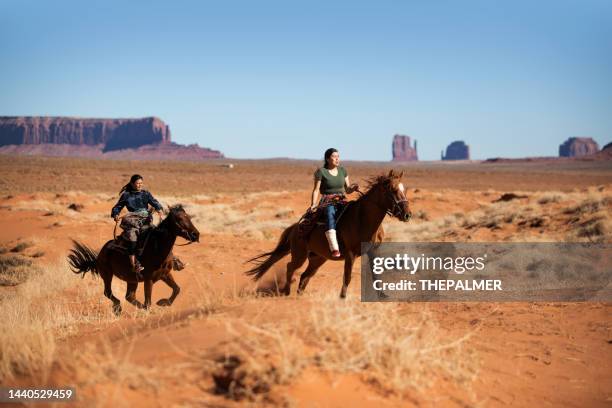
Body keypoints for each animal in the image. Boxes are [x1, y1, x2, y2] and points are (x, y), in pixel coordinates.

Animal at [68, 204, 200, 316]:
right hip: (107, 275)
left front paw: (162, 302)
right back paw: (118, 308)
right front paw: (153, 308)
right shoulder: (148, 279)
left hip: (131, 279)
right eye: (179, 219)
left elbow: (176, 289)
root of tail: (99, 255)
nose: (196, 235)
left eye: (188, 217)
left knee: (129, 296)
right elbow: (148, 301)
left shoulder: (165, 274)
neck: (157, 247)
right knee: (108, 292)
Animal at [245, 171, 412, 298]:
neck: (362, 219)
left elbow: (376, 274)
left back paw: (299, 293)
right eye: (393, 190)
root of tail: (294, 228)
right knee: (290, 267)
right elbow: (347, 276)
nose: (407, 215)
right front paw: (342, 297)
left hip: (318, 258)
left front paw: (382, 295)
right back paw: (286, 291)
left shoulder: (373, 252)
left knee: (305, 275)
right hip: (300, 255)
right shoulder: (350, 254)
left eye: (404, 189)